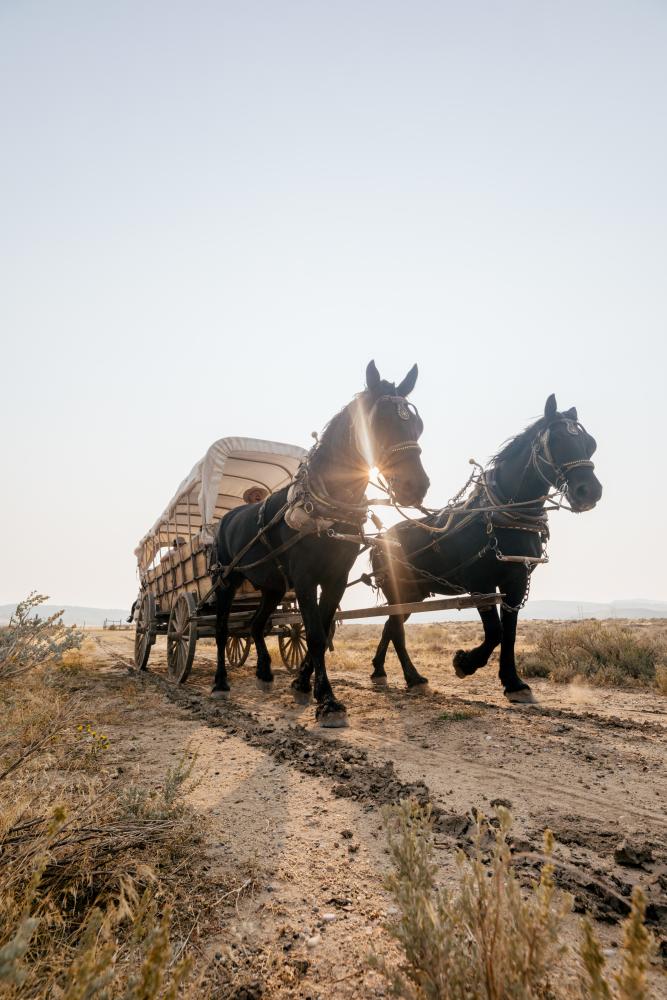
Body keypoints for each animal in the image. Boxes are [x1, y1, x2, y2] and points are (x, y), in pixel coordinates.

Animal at [214, 360, 434, 728]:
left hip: (272, 586)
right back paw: (219, 682)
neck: (325, 505)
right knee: (219, 629)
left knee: (256, 625)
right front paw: (328, 701)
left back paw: (264, 673)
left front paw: (304, 684)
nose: (415, 486)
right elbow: (316, 633)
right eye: (378, 424)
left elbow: (325, 625)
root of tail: (225, 518)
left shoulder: (336, 577)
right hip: (227, 580)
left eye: (417, 425)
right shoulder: (305, 578)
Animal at [368, 392, 604, 704]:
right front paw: (464, 663)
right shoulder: (480, 584)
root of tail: (378, 539)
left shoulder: (516, 582)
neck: (504, 515)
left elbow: (509, 633)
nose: (590, 491)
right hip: (400, 590)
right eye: (556, 441)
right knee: (395, 629)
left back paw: (380, 671)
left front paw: (514, 683)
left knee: (389, 625)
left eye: (590, 443)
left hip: (413, 593)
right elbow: (495, 632)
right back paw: (414, 678)